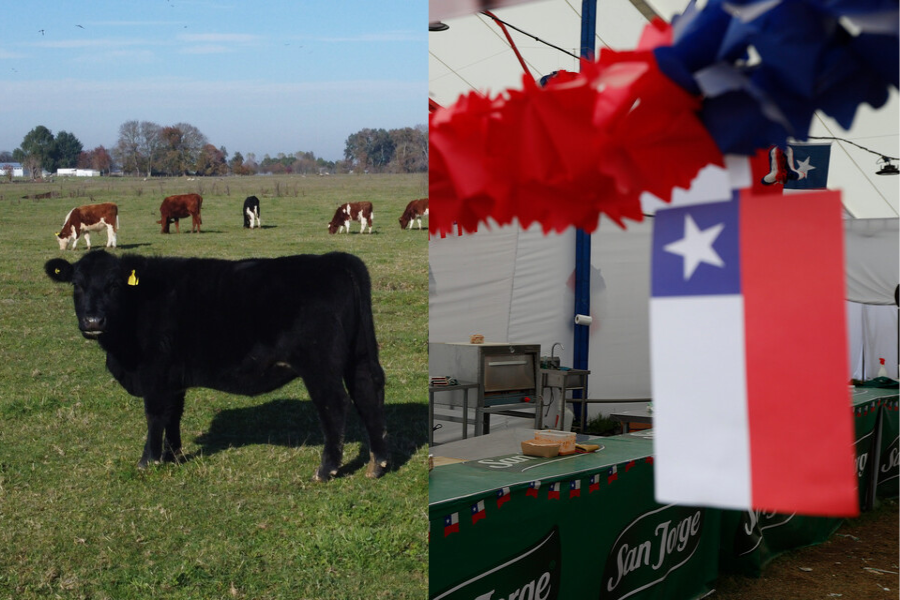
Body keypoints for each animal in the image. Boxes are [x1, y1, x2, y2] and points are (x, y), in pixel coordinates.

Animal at [43, 251, 386, 480]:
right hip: (359, 356)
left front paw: (148, 460)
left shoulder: (154, 374)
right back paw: (378, 464)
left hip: (320, 365)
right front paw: (173, 455)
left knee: (335, 405)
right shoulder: (173, 379)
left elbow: (155, 416)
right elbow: (173, 416)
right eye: (76, 285)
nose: (93, 321)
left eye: (115, 285)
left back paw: (327, 469)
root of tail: (335, 259)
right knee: (368, 394)